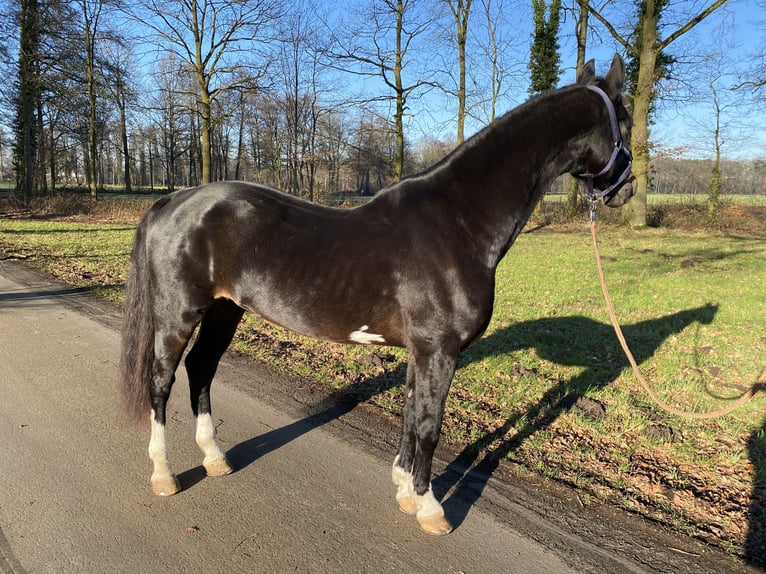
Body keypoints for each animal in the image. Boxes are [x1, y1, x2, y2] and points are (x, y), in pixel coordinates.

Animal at [120, 54, 636, 536]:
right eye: (626, 121)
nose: (626, 190)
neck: (459, 221)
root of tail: (174, 200)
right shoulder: (439, 350)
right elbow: (429, 425)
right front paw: (431, 508)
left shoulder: (421, 352)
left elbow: (410, 414)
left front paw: (406, 491)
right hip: (179, 313)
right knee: (162, 381)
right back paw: (164, 475)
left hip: (225, 310)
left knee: (202, 369)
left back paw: (215, 458)